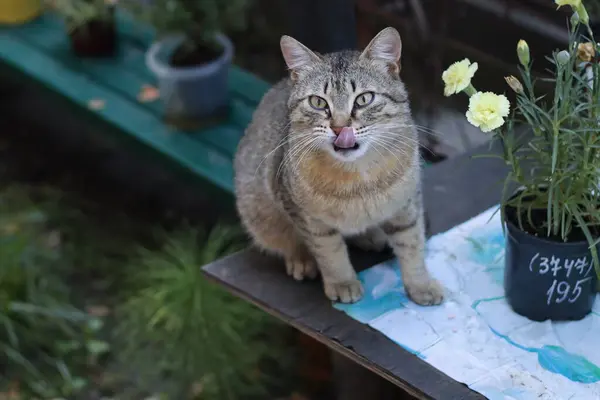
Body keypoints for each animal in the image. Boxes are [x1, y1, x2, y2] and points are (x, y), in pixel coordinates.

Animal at [234, 26, 446, 304]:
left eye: (364, 99)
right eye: (318, 102)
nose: (339, 127)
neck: (356, 178)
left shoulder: (406, 206)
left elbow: (412, 245)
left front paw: (420, 285)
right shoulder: (307, 217)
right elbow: (330, 252)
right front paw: (342, 282)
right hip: (258, 211)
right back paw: (301, 259)